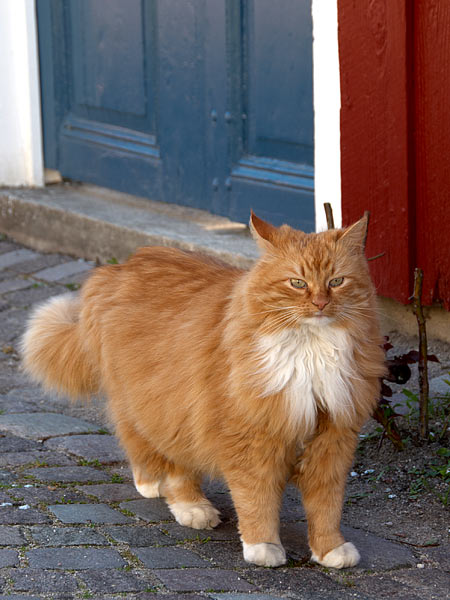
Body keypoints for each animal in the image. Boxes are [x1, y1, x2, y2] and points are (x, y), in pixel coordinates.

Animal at [21, 214, 384, 568]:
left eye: (336, 282)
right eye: (297, 283)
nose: (321, 303)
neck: (312, 351)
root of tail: (118, 268)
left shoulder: (333, 435)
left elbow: (326, 506)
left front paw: (329, 550)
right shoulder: (249, 436)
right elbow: (256, 500)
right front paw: (263, 547)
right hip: (166, 408)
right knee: (161, 459)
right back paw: (185, 504)